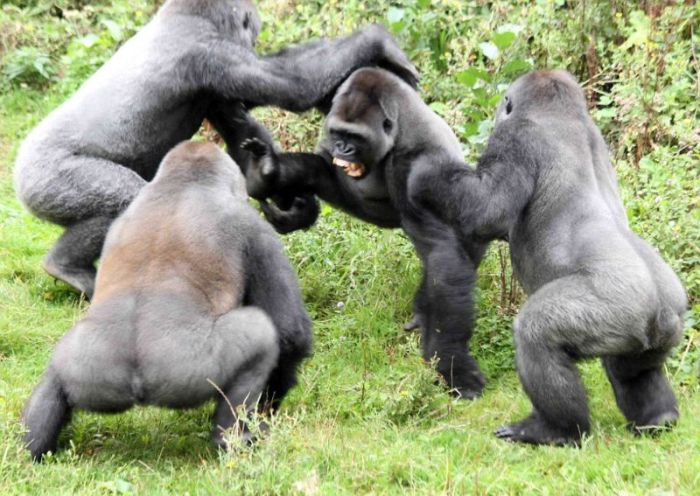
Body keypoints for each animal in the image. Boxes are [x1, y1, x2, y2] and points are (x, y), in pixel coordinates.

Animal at [13, 0, 418, 298]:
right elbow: (294, 85)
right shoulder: (210, 54)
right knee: (124, 200)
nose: (253, 36)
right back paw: (69, 268)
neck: (182, 17)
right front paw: (376, 40)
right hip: (46, 179)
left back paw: (64, 266)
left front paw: (289, 199)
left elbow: (241, 130)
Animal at [21, 140, 312, 462]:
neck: (184, 182)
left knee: (54, 380)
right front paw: (271, 402)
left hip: (85, 363)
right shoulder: (255, 229)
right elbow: (290, 334)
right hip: (187, 367)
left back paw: (33, 450)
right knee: (259, 336)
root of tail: (136, 382)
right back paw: (234, 440)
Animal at [243, 68, 490, 400]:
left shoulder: (416, 167)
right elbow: (322, 165)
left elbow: (441, 253)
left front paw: (452, 362)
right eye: (339, 134)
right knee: (319, 170)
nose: (343, 149)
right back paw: (269, 175)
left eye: (356, 138)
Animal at [408, 68, 688, 444]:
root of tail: (663, 309)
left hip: (615, 308)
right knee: (631, 370)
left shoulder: (515, 137)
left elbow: (485, 211)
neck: (562, 114)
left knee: (536, 335)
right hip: (658, 328)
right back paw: (657, 417)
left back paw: (555, 430)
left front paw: (427, 170)